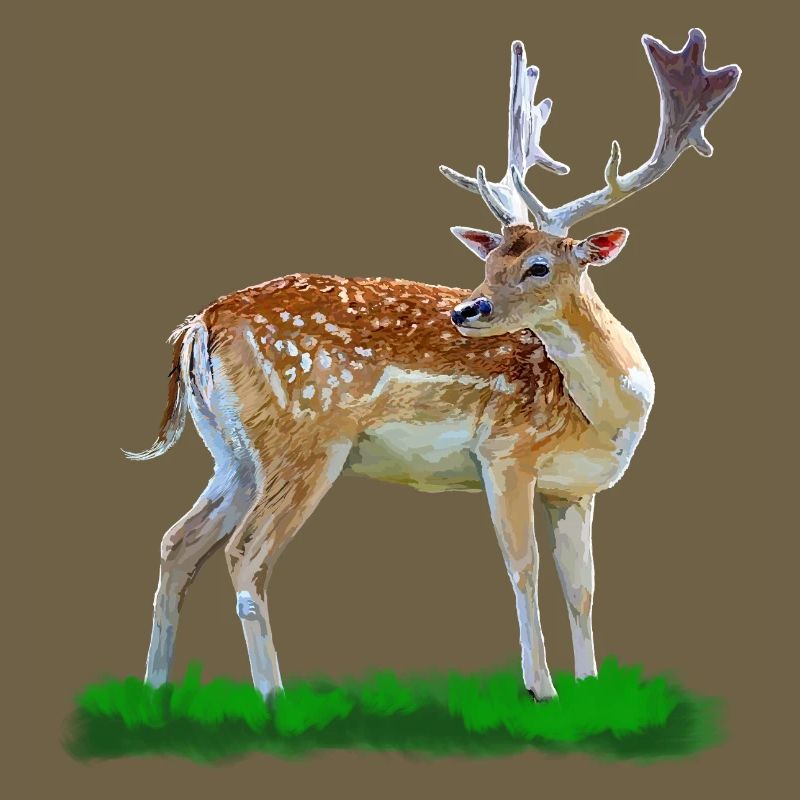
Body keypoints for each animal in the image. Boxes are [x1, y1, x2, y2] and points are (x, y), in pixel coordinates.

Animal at [126, 29, 740, 700]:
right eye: (490, 261)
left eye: (538, 266)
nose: (467, 309)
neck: (605, 416)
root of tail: (200, 325)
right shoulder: (504, 452)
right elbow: (523, 569)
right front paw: (541, 688)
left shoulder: (576, 488)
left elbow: (582, 589)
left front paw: (590, 684)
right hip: (301, 438)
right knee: (245, 554)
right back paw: (273, 699)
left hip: (233, 452)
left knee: (178, 542)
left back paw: (156, 689)